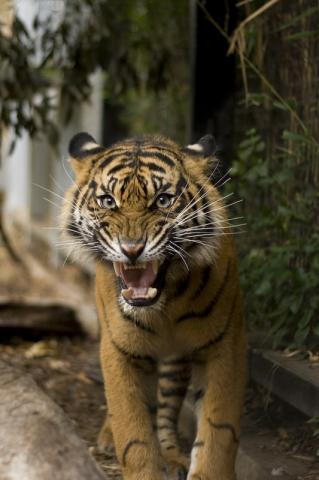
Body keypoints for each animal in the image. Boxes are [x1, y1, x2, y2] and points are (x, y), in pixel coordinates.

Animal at [63, 132, 248, 480]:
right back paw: (108, 438)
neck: (166, 303)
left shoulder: (224, 346)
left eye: (163, 200)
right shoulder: (119, 351)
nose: (132, 249)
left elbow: (218, 432)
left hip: (175, 361)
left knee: (166, 408)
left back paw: (172, 456)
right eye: (108, 201)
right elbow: (133, 434)